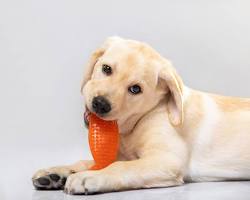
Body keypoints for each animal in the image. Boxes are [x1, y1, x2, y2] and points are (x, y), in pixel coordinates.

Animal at [32, 36, 250, 195]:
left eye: (135, 89)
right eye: (106, 69)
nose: (100, 104)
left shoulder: (166, 160)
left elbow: (120, 167)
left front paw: (88, 177)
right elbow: (88, 162)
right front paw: (57, 172)